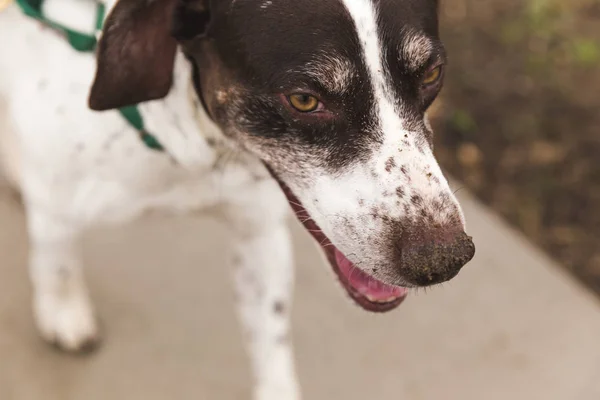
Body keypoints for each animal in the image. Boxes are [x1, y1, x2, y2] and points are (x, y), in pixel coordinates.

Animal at [2, 0, 476, 396]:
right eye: (304, 99)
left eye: (431, 74)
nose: (444, 260)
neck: (199, 144)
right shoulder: (56, 205)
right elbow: (58, 262)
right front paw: (63, 312)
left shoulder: (259, 234)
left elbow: (272, 342)